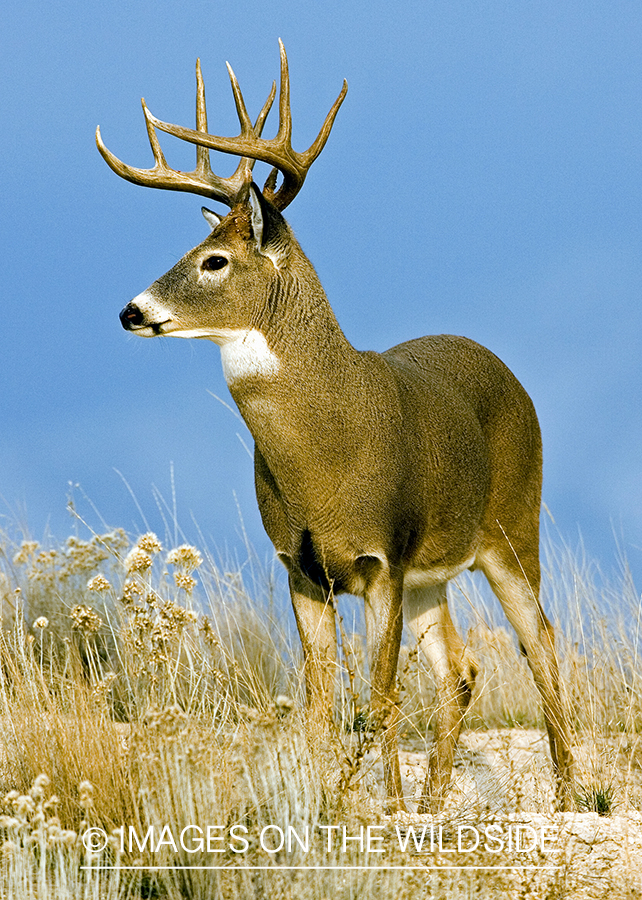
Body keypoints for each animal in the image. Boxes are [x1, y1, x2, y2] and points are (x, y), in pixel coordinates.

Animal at [99, 42, 568, 812]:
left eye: (215, 259)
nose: (131, 311)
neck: (326, 455)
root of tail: (506, 370)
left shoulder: (385, 557)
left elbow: (378, 702)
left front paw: (378, 806)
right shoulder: (301, 564)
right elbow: (321, 709)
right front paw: (343, 806)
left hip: (509, 526)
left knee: (541, 641)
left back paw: (568, 791)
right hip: (434, 575)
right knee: (460, 668)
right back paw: (436, 804)